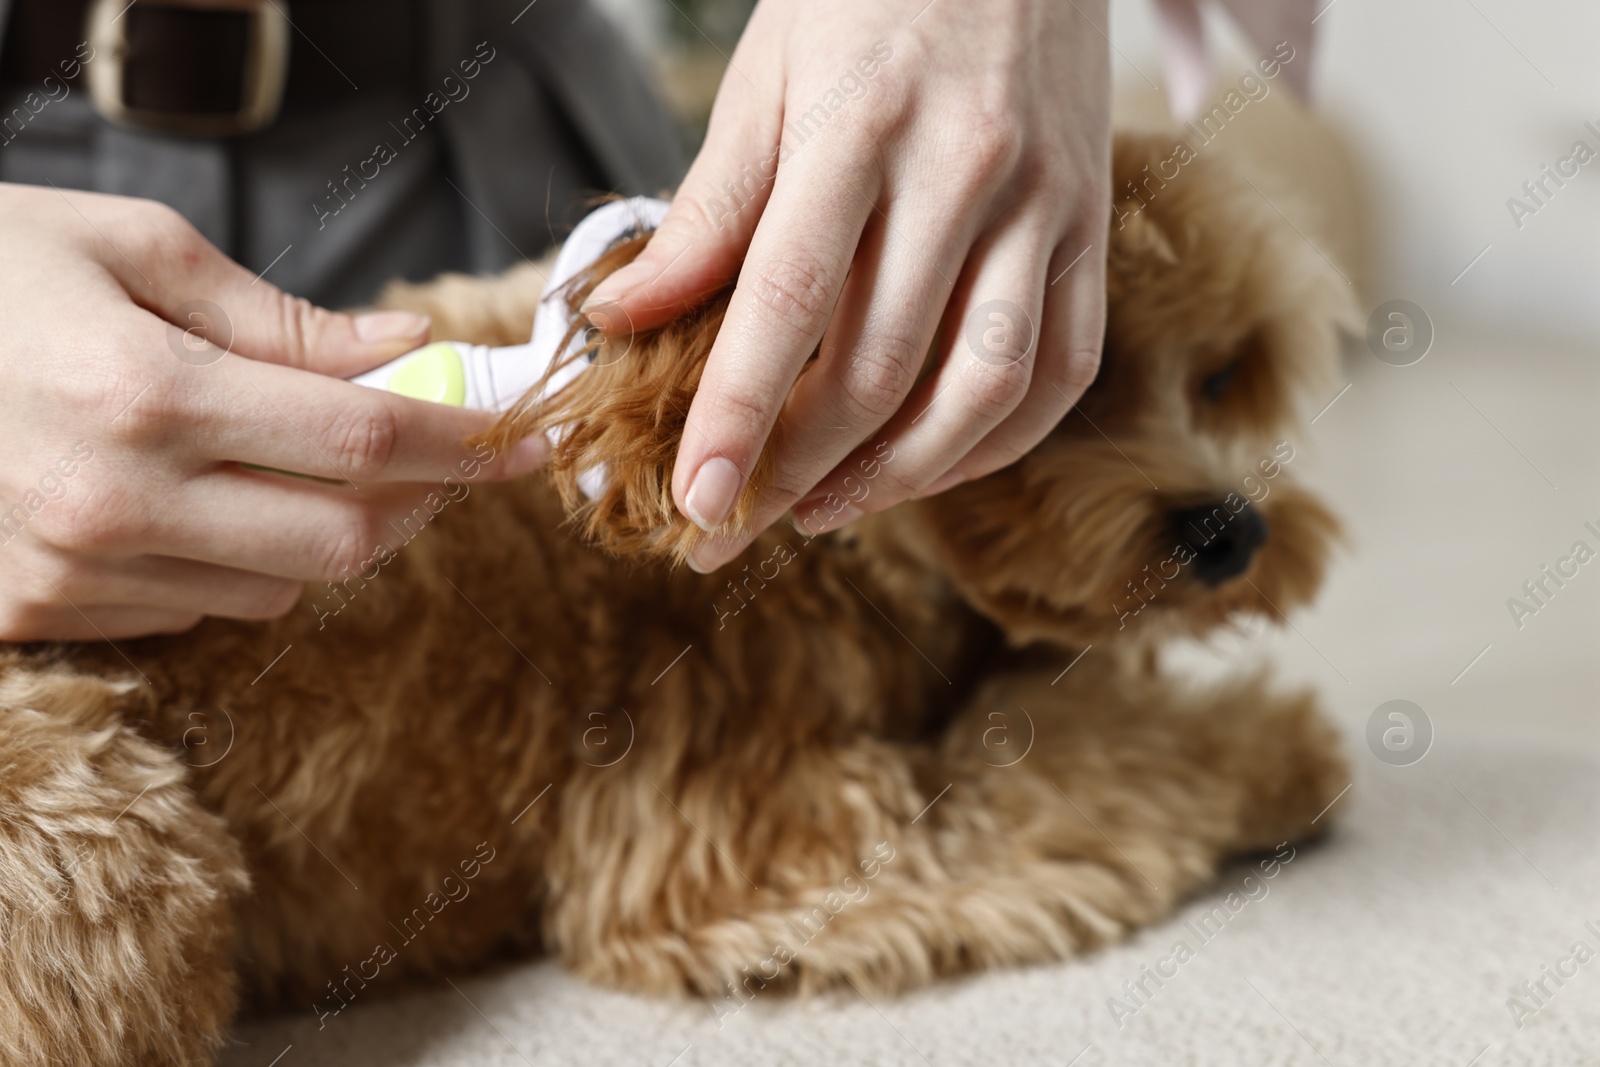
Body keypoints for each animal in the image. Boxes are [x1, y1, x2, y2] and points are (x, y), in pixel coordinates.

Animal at [0, 135, 1350, 1067]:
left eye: (1220, 375)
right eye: (1064, 389)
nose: (1232, 529)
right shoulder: (745, 839)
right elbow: (1098, 759)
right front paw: (1277, 754)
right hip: (113, 840)